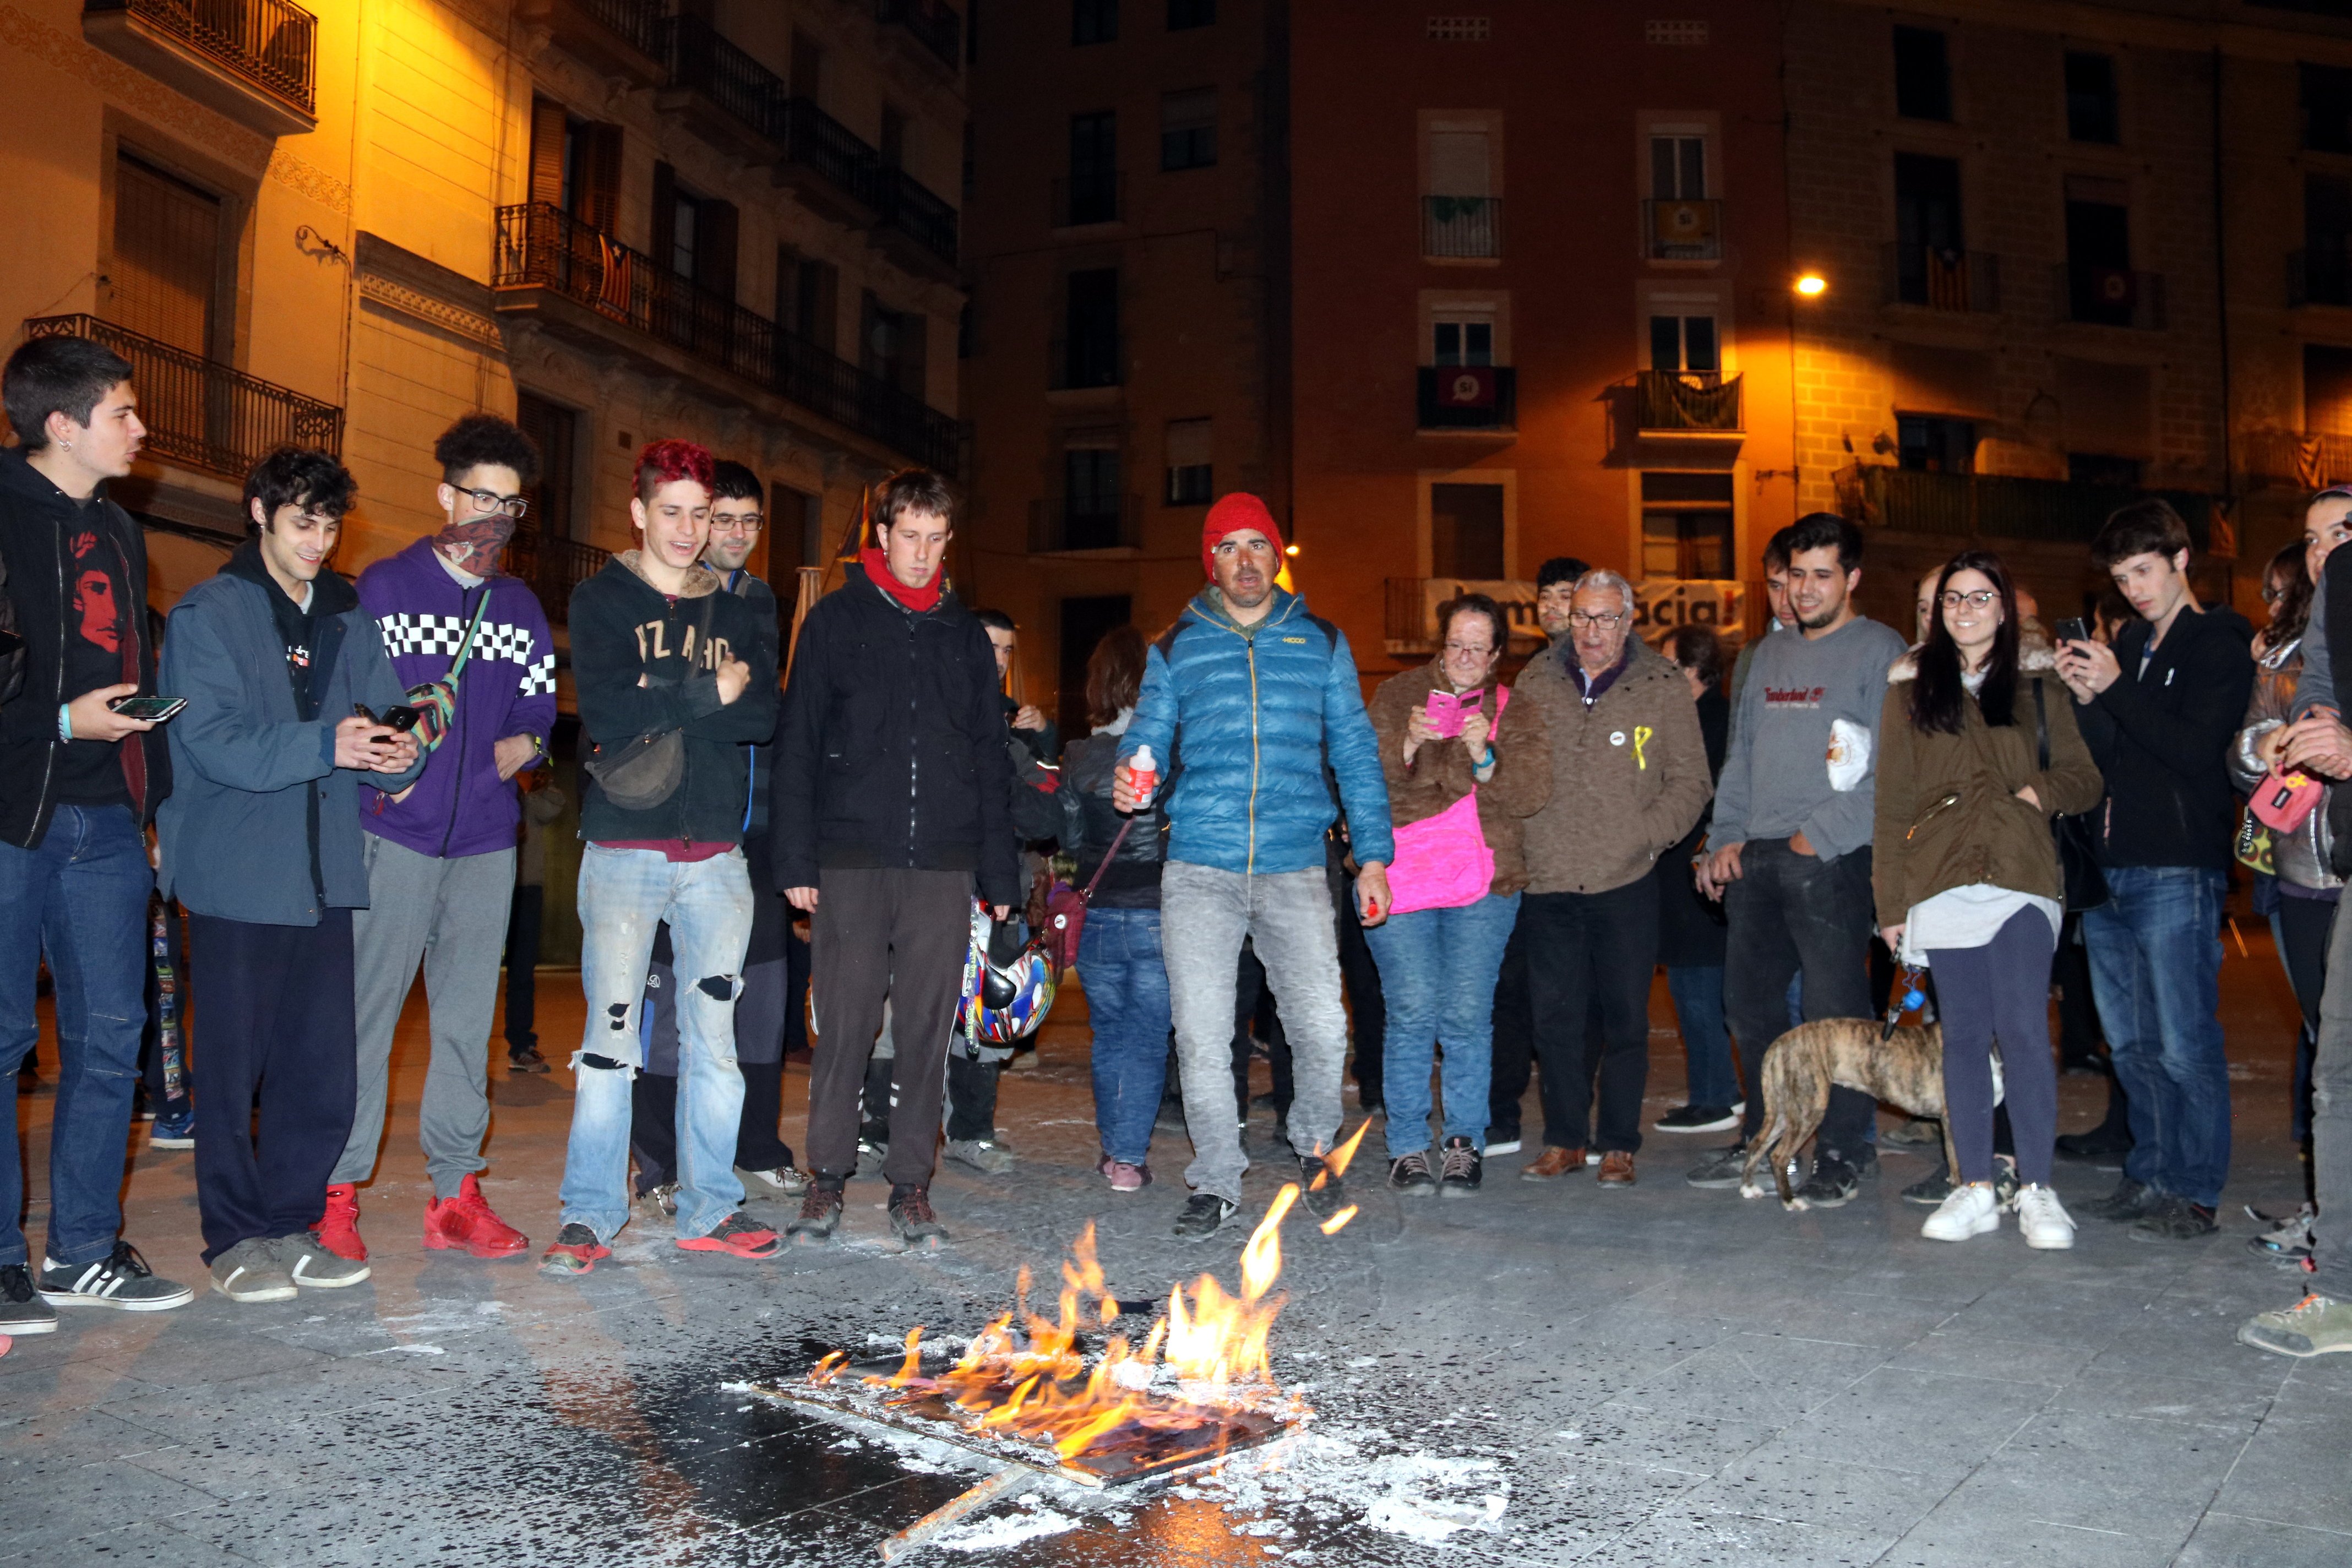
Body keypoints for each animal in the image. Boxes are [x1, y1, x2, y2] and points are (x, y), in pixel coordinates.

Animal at [1731, 1020, 2003, 1213]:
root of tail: (1780, 1043)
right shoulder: (1953, 1120)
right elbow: (1958, 1167)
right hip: (1808, 1109)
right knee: (1778, 1156)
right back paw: (1789, 1201)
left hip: (1784, 1113)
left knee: (1757, 1144)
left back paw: (1748, 1188)